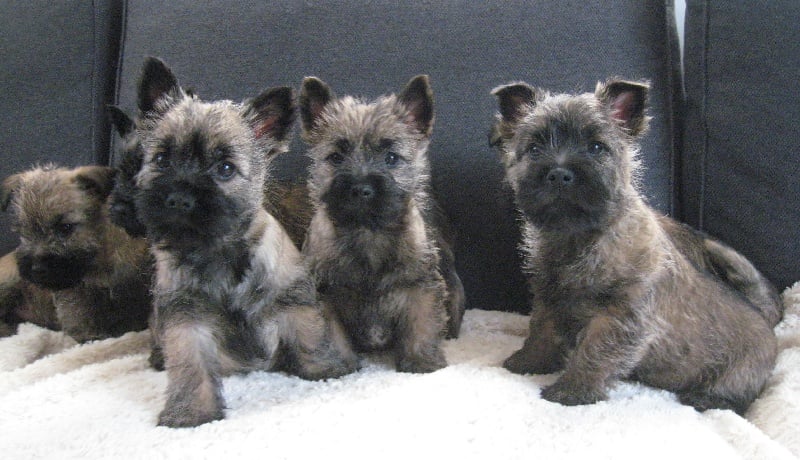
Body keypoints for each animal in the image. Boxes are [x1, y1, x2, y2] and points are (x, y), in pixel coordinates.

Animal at [0, 165, 152, 342]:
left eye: (66, 227)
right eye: (23, 231)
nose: (36, 269)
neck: (99, 261)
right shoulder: (73, 293)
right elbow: (78, 316)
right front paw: (90, 336)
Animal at [134, 57, 356, 428]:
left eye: (225, 169)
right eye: (162, 159)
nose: (179, 198)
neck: (218, 252)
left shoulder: (293, 299)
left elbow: (311, 336)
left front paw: (327, 369)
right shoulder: (186, 320)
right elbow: (190, 366)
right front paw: (191, 412)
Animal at [296, 73, 466, 372]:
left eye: (391, 158)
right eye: (336, 157)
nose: (360, 189)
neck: (368, 232)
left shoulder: (420, 287)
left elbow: (422, 326)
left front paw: (422, 362)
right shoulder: (326, 295)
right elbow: (332, 334)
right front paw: (340, 366)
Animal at [490, 78, 784, 414]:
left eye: (596, 147)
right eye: (535, 149)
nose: (559, 173)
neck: (579, 238)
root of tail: (770, 330)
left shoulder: (619, 318)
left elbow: (593, 354)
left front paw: (571, 391)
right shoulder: (550, 301)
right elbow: (541, 333)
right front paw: (526, 362)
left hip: (737, 373)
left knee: (736, 395)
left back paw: (705, 398)